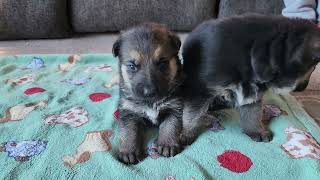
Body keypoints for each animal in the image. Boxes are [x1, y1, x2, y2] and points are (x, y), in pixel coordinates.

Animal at [112, 22, 184, 165]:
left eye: (162, 63)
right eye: (132, 66)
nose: (149, 92)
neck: (151, 102)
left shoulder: (174, 107)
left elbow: (170, 125)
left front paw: (167, 144)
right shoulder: (129, 113)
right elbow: (128, 132)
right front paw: (128, 151)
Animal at [180, 14, 320, 146]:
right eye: (313, 67)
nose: (304, 88)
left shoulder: (253, 93)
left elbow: (252, 114)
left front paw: (256, 131)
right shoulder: (200, 90)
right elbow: (191, 115)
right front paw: (185, 133)